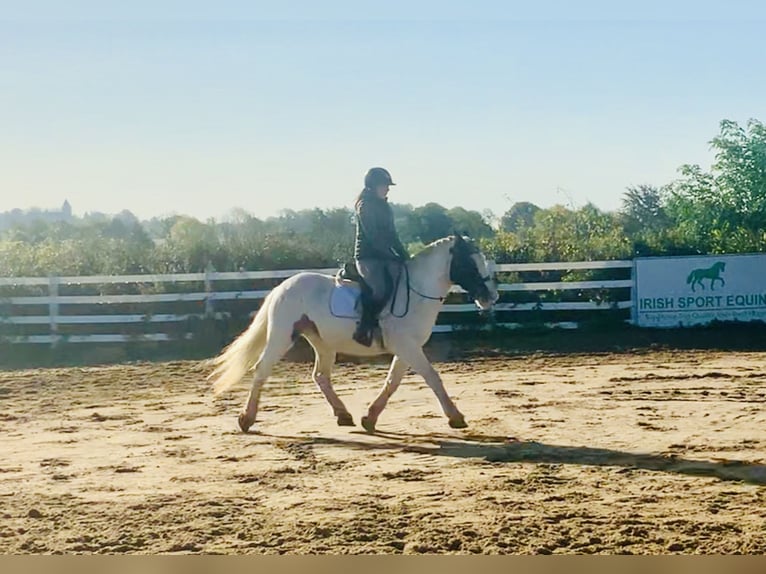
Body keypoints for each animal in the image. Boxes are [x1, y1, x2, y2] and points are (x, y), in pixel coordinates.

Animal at [207, 233, 500, 432]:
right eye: (470, 263)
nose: (491, 297)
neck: (417, 292)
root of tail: (283, 286)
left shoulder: (407, 348)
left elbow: (392, 382)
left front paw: (370, 418)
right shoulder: (407, 347)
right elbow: (432, 377)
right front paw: (456, 417)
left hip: (323, 343)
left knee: (320, 376)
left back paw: (343, 414)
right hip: (281, 336)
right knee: (261, 370)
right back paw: (246, 419)